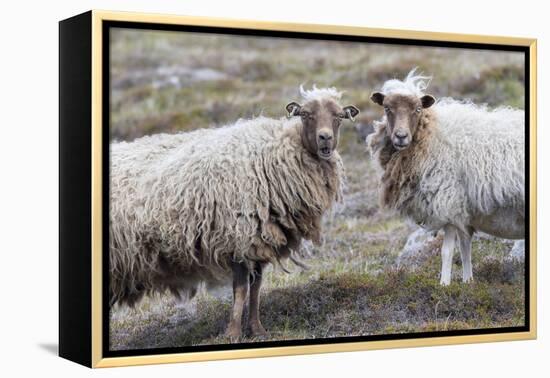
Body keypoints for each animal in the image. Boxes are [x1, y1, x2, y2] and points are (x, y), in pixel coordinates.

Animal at [366, 69, 528, 284]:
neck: (430, 134)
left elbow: (447, 251)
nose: (401, 136)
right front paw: (468, 282)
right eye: (387, 108)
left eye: (418, 109)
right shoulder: (462, 211)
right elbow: (465, 248)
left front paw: (444, 284)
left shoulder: (447, 202)